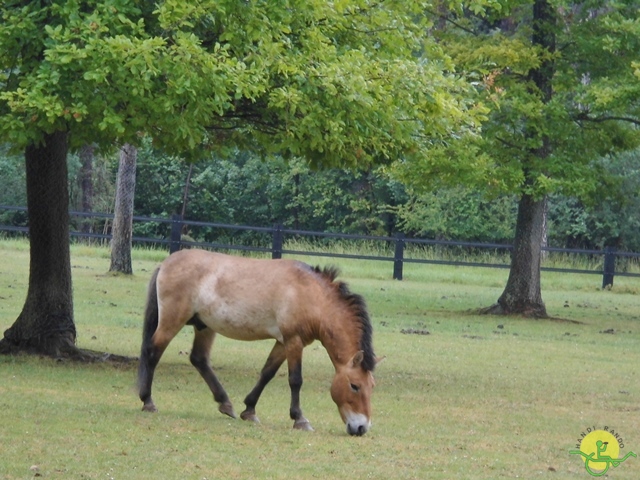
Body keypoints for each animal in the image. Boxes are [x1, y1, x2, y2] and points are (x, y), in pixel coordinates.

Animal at [136, 249, 380, 436]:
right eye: (354, 386)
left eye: (372, 386)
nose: (361, 428)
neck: (311, 296)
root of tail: (166, 263)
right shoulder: (293, 341)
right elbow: (295, 380)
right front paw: (300, 419)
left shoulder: (283, 343)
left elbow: (267, 373)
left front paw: (249, 410)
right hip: (172, 322)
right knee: (152, 351)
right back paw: (148, 401)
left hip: (204, 326)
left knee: (199, 359)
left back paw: (226, 404)